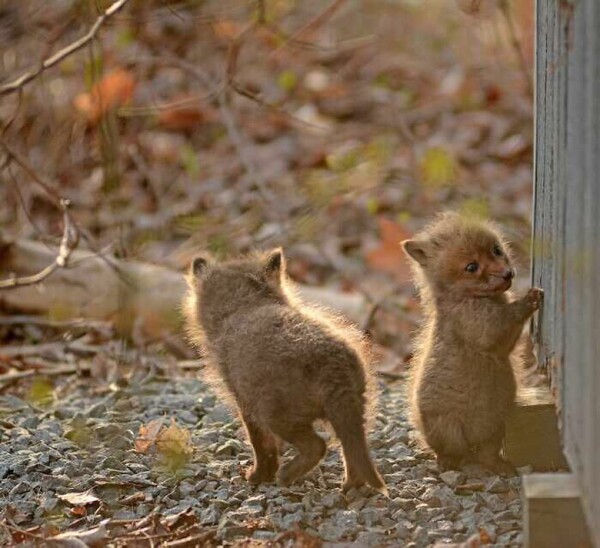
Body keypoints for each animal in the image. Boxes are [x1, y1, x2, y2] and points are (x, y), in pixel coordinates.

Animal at [183, 248, 386, 492]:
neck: (245, 305)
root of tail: (333, 365)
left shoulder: (245, 401)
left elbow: (260, 443)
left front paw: (259, 476)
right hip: (354, 408)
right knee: (351, 447)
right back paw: (350, 487)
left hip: (277, 413)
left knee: (317, 445)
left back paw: (286, 476)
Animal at [404, 212, 544, 474]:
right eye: (471, 267)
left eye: (496, 250)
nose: (508, 274)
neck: (467, 298)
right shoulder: (485, 331)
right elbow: (508, 318)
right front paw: (529, 299)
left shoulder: (501, 347)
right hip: (449, 431)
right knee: (452, 452)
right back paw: (448, 462)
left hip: (496, 430)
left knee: (487, 456)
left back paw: (500, 466)